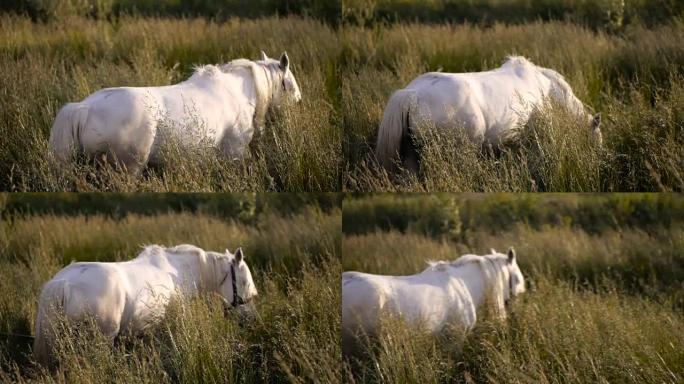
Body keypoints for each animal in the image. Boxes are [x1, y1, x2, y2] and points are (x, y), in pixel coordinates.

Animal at [49, 51, 300, 172]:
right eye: (289, 84)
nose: (299, 102)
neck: (236, 91)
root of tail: (84, 108)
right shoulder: (235, 153)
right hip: (129, 167)